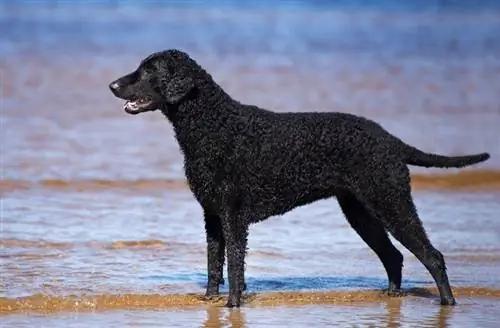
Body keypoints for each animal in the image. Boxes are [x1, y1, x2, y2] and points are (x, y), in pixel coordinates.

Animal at [108, 48, 488, 308]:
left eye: (148, 70)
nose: (111, 84)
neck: (213, 124)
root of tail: (391, 140)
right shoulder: (212, 215)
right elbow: (215, 263)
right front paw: (210, 300)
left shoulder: (233, 215)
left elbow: (234, 265)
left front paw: (232, 305)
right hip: (361, 211)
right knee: (394, 256)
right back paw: (391, 297)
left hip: (391, 200)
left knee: (432, 256)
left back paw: (448, 304)